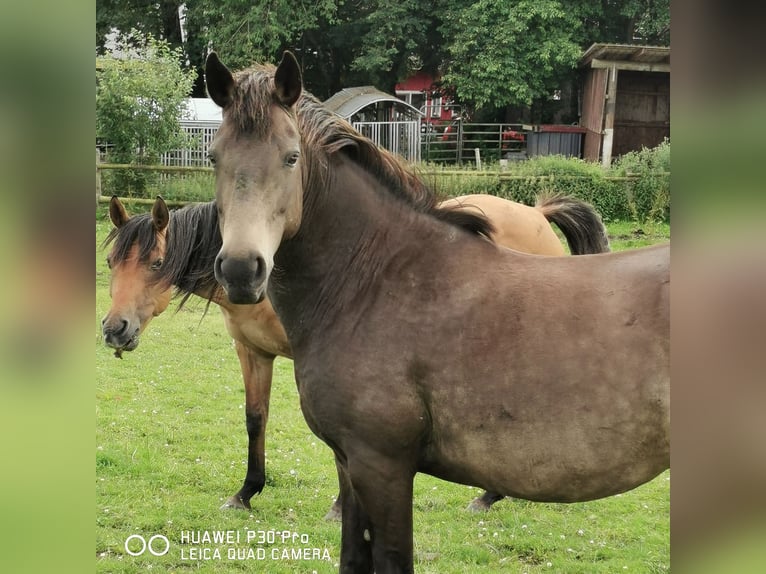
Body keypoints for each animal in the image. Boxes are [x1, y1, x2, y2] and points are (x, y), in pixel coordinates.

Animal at [102, 189, 612, 516]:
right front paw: (246, 493)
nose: (113, 329)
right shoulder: (252, 352)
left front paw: (339, 508)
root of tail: (538, 213)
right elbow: (255, 420)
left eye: (156, 263)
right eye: (110, 262)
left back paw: (490, 496)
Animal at [206, 50, 672, 574]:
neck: (373, 281)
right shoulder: (350, 463)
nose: (241, 269)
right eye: (214, 157)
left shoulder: (382, 465)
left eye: (291, 157)